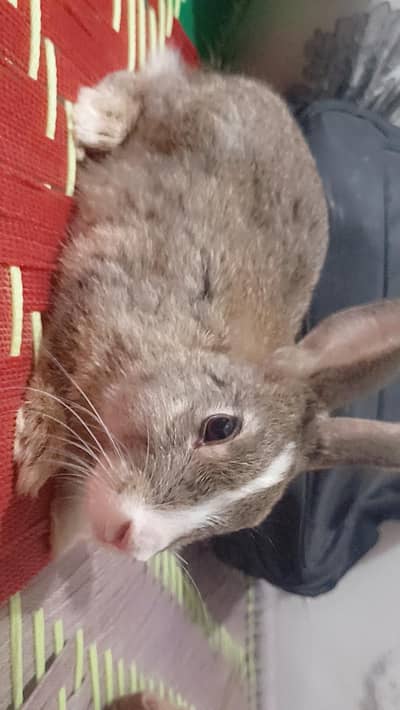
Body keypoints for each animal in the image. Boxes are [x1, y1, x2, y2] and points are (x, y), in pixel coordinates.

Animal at [14, 47, 400, 561]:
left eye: (245, 521)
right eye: (220, 427)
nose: (127, 537)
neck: (183, 350)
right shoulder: (93, 295)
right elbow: (56, 372)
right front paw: (36, 452)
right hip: (178, 110)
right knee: (153, 81)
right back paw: (100, 121)